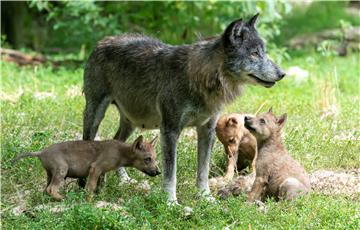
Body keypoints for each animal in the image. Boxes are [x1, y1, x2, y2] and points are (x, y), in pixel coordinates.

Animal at [12, 136, 159, 200]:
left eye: (155, 157)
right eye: (148, 159)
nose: (158, 172)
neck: (120, 152)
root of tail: (41, 152)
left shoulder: (101, 173)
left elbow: (100, 187)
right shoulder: (95, 168)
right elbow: (90, 188)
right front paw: (89, 201)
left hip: (50, 174)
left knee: (45, 190)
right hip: (62, 171)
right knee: (51, 189)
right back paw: (63, 198)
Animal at [83, 13, 286, 202]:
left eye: (263, 52)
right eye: (254, 53)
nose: (282, 73)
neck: (201, 77)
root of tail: (103, 41)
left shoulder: (207, 130)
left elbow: (203, 171)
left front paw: (205, 197)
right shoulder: (170, 130)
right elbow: (170, 174)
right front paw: (171, 202)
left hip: (132, 122)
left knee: (117, 141)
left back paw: (124, 180)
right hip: (95, 114)